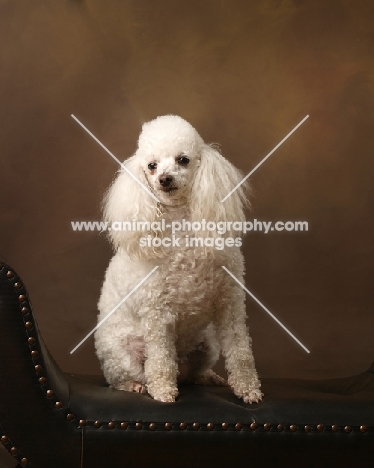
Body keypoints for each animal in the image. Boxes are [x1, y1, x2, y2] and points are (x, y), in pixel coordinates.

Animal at [94, 115, 262, 404]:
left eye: (183, 160)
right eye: (151, 166)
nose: (164, 178)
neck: (181, 225)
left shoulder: (230, 303)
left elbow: (240, 351)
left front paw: (248, 389)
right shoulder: (156, 313)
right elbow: (161, 357)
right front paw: (163, 391)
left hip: (207, 344)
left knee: (193, 372)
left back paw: (206, 377)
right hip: (121, 354)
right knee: (123, 376)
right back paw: (135, 385)